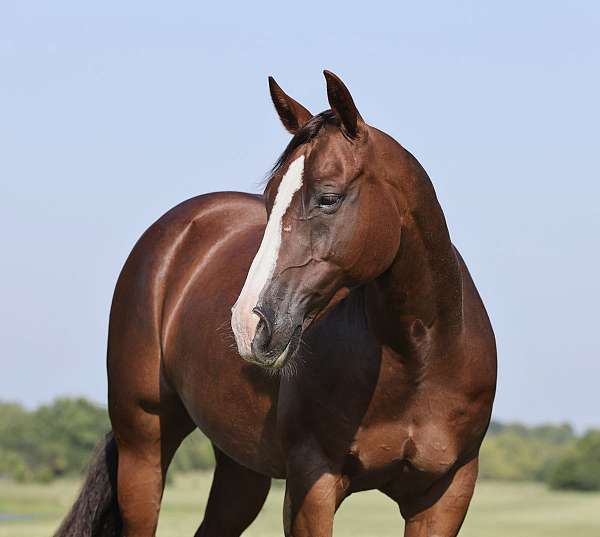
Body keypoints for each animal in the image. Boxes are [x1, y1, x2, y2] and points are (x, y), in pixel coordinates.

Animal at [56, 71, 496, 536]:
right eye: (269, 198)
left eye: (328, 197)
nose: (248, 325)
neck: (419, 358)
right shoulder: (311, 486)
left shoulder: (445, 494)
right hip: (143, 447)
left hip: (240, 470)